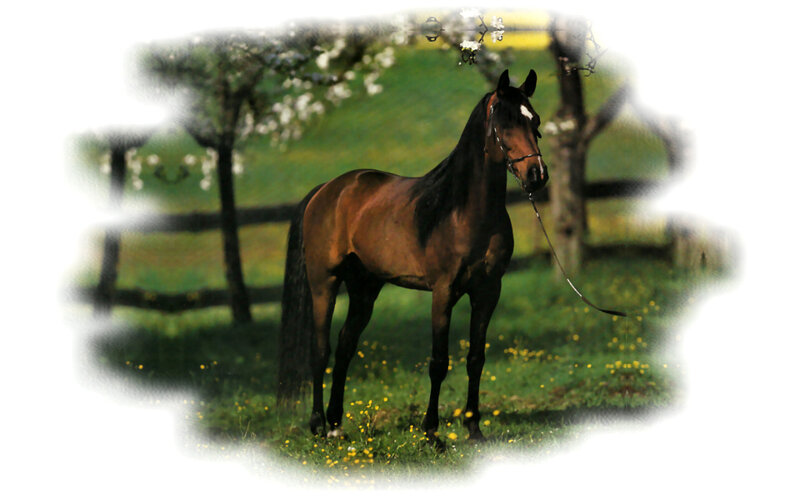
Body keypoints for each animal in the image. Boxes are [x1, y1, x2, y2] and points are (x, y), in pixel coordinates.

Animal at [278, 69, 548, 447]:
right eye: (505, 124)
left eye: (534, 121)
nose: (537, 176)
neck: (462, 212)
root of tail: (327, 190)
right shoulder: (443, 293)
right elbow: (439, 362)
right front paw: (432, 433)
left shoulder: (487, 292)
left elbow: (476, 358)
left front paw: (474, 429)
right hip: (324, 283)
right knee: (321, 349)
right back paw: (318, 424)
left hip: (365, 289)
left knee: (345, 346)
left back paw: (335, 424)